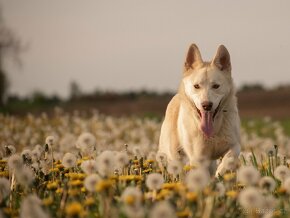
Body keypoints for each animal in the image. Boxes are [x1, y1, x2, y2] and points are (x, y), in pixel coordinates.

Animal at [159, 43, 240, 176]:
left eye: (216, 86)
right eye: (196, 86)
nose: (207, 105)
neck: (213, 133)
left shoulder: (235, 145)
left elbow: (230, 159)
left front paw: (220, 174)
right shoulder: (198, 157)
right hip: (174, 156)